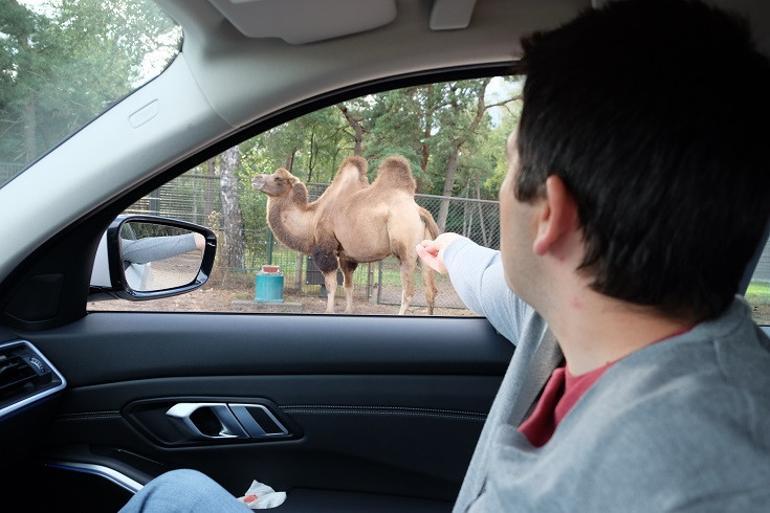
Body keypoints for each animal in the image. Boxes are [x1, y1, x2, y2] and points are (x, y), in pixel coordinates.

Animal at [252, 156, 438, 314]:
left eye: (278, 178)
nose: (255, 178)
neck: (312, 218)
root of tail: (420, 212)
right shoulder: (346, 256)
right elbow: (348, 285)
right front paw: (348, 310)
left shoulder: (326, 248)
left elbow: (331, 285)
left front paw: (329, 310)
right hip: (425, 250)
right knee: (431, 291)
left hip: (406, 249)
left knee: (408, 291)